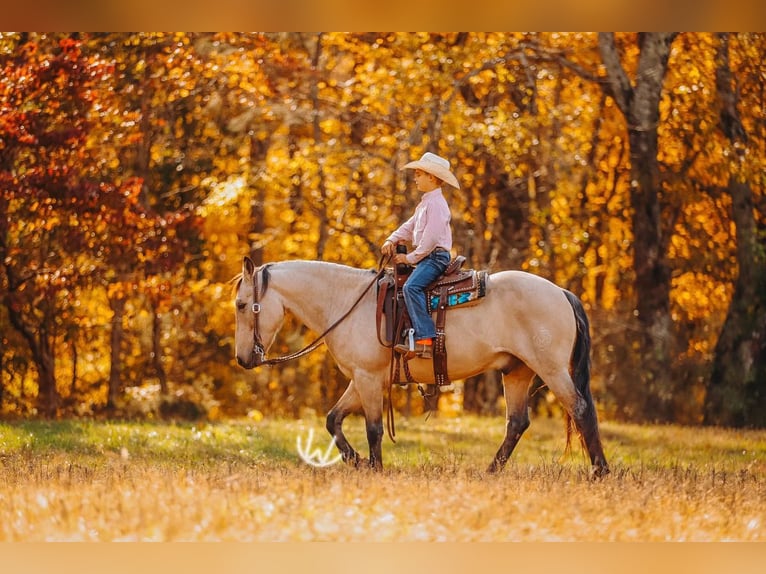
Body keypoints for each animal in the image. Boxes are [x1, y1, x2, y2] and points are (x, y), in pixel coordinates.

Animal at [234, 256, 609, 478]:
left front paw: (374, 467)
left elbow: (373, 428)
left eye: (240, 304)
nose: (242, 359)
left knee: (580, 409)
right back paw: (490, 471)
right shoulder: (361, 380)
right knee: (517, 422)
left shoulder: (368, 379)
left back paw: (600, 471)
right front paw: (356, 460)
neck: (345, 303)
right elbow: (332, 419)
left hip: (551, 369)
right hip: (517, 371)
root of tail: (561, 292)